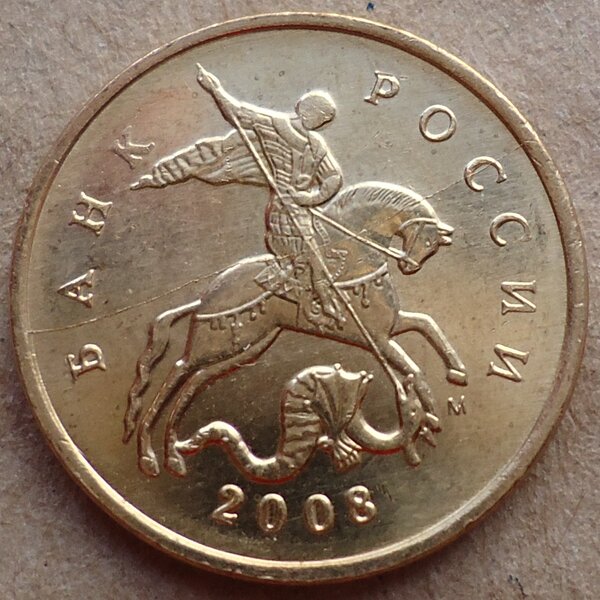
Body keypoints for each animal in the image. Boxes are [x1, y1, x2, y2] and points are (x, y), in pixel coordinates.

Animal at [122, 181, 468, 477]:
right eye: (427, 239)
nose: (411, 266)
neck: (355, 260)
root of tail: (204, 297)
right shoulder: (379, 339)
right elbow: (414, 369)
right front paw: (430, 414)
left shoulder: (391, 326)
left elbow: (427, 325)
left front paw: (457, 372)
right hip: (215, 343)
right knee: (177, 373)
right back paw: (149, 454)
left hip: (248, 347)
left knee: (196, 381)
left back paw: (173, 455)